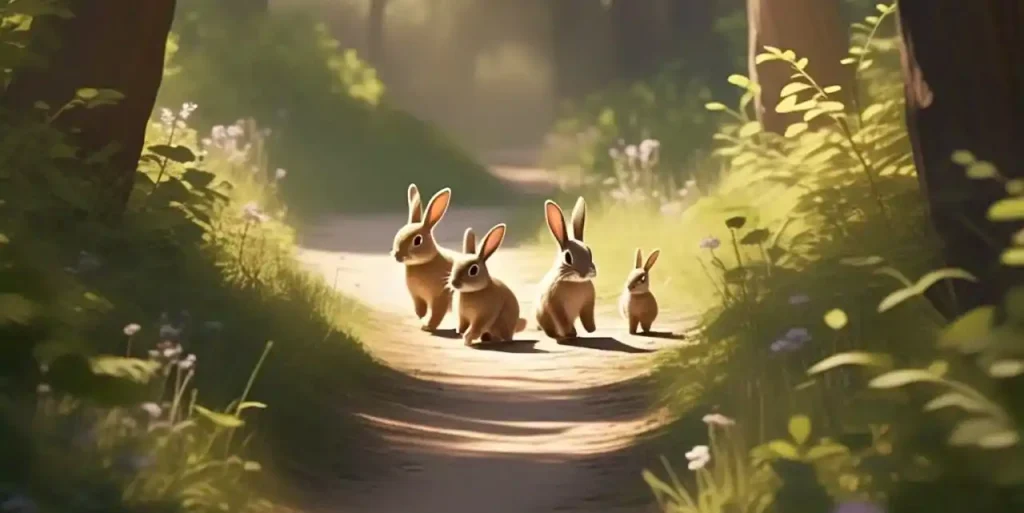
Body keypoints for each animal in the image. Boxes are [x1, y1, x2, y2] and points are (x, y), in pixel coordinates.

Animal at [390, 184, 458, 332]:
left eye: (417, 240)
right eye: (399, 233)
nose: (397, 255)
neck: (422, 263)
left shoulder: (440, 297)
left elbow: (436, 314)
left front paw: (427, 327)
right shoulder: (417, 296)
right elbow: (420, 308)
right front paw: (421, 316)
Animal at [534, 197, 598, 341]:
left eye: (590, 252)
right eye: (568, 257)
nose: (584, 273)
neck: (574, 282)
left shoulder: (588, 304)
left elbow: (587, 317)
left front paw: (591, 329)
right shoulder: (554, 304)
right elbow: (562, 320)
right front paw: (569, 333)